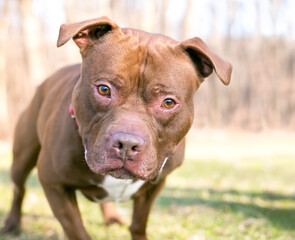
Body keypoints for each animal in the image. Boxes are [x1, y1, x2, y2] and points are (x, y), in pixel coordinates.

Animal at [2, 15, 234, 239]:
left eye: (168, 103)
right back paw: (12, 224)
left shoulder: (154, 187)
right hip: (22, 156)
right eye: (104, 89)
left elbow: (139, 225)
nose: (127, 143)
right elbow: (77, 230)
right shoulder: (54, 183)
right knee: (18, 189)